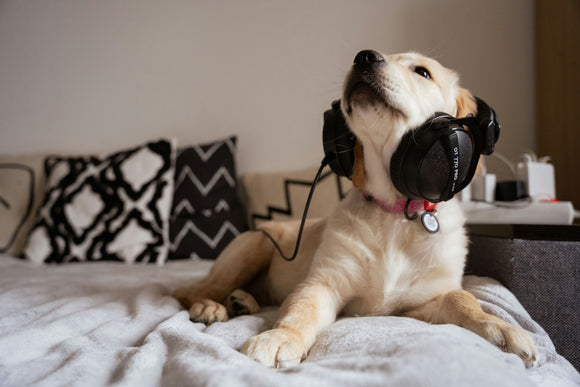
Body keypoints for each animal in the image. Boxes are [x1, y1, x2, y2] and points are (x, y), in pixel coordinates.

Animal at [173, 50, 540, 370]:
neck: (397, 211)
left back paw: (242, 301)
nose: (364, 56)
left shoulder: (422, 302)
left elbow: (463, 300)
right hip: (255, 244)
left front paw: (501, 328)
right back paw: (210, 306)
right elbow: (300, 310)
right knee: (190, 291)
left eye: (422, 72)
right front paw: (281, 337)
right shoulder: (323, 282)